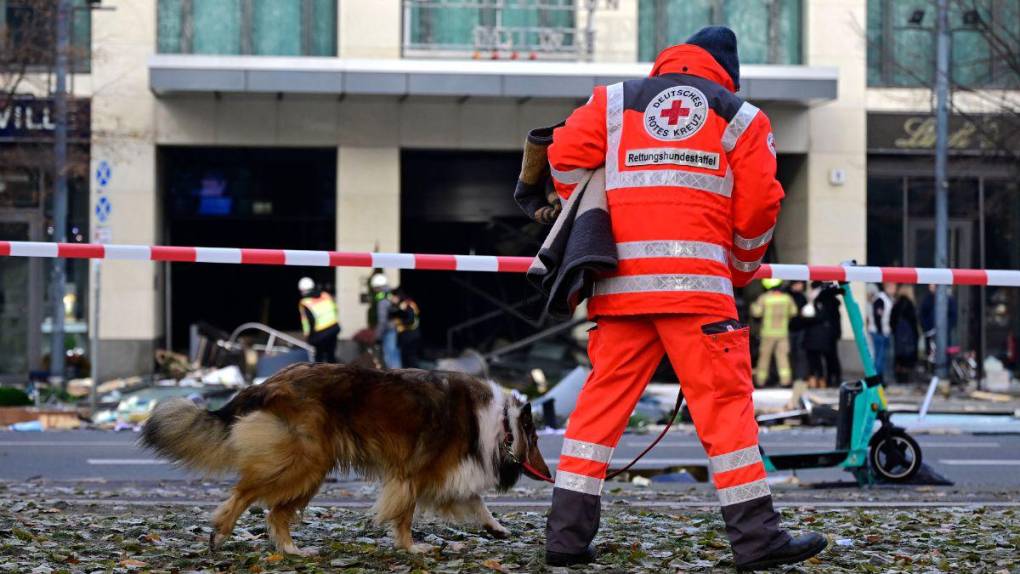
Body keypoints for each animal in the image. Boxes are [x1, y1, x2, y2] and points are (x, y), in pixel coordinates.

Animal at [141, 362, 550, 558]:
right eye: (535, 438)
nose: (549, 474)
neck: (498, 422)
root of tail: (265, 384)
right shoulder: (414, 474)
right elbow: (405, 513)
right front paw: (411, 547)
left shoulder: (444, 476)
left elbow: (477, 502)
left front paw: (496, 528)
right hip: (304, 461)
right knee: (245, 493)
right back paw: (221, 531)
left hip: (311, 468)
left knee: (275, 513)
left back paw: (292, 551)